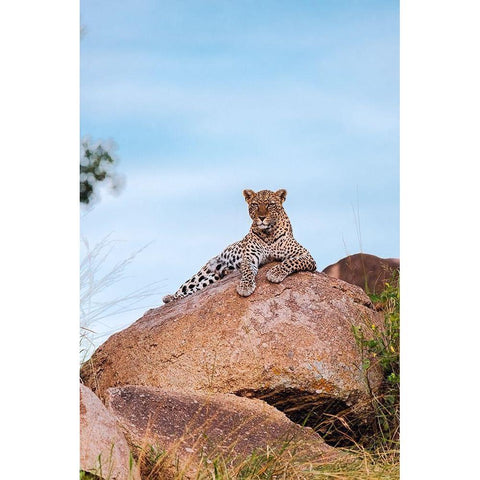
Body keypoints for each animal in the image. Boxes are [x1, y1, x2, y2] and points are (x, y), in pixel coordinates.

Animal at [163, 188, 316, 304]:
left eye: (270, 204)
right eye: (255, 204)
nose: (261, 218)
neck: (268, 233)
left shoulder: (307, 256)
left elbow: (291, 262)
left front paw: (275, 273)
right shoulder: (249, 258)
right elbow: (248, 271)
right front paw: (245, 287)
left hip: (213, 278)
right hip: (203, 272)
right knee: (185, 288)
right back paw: (170, 297)